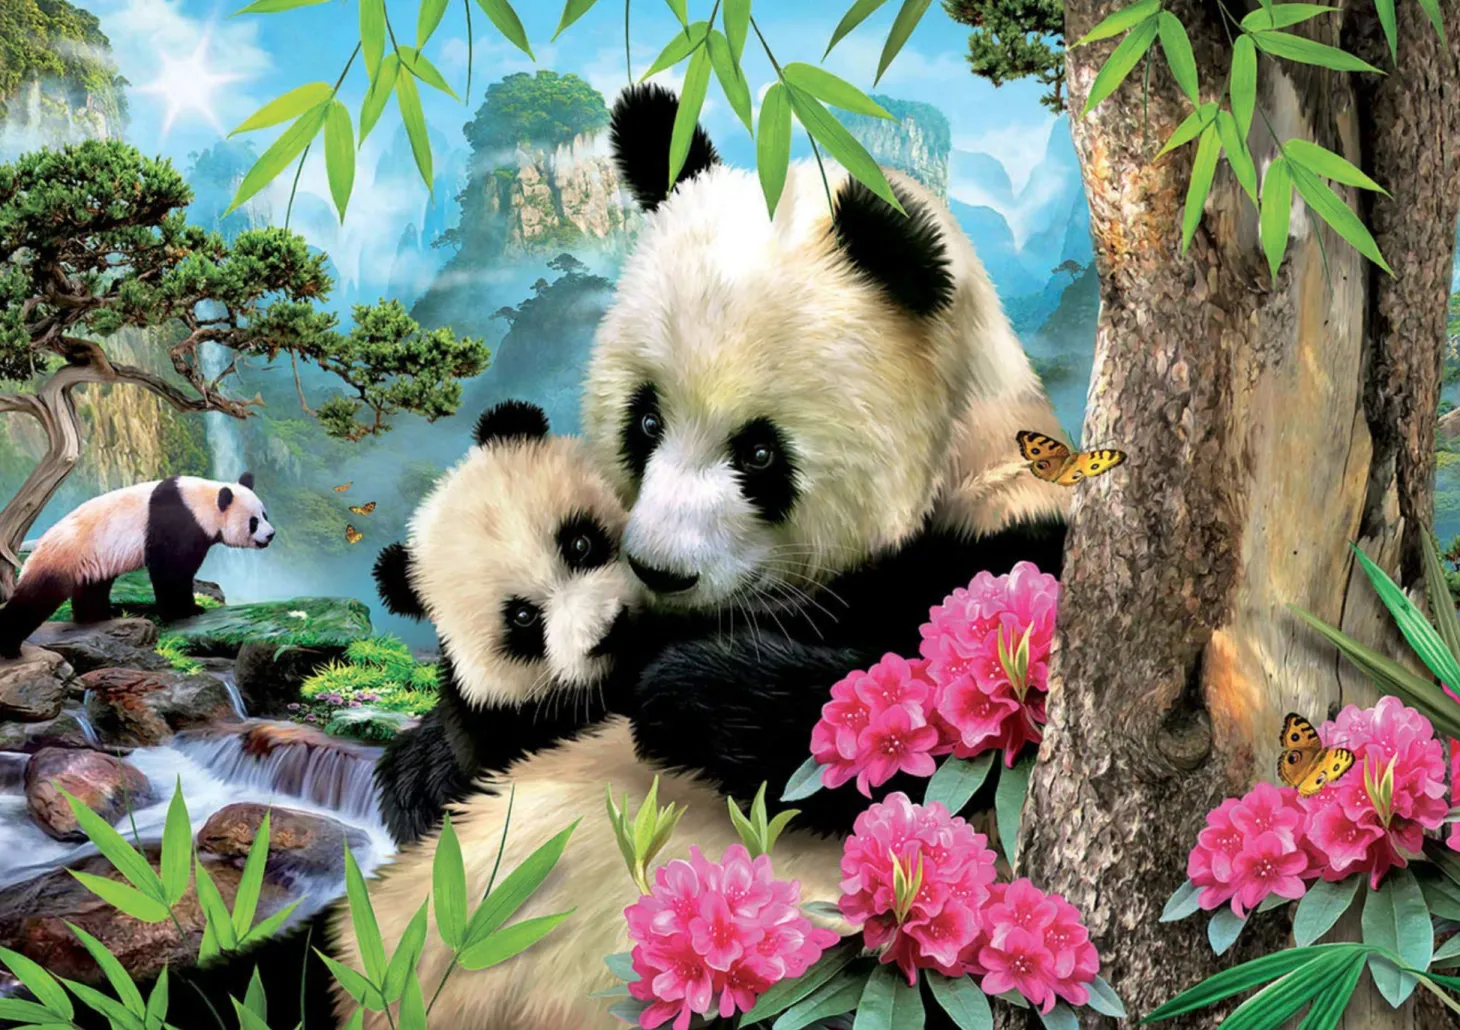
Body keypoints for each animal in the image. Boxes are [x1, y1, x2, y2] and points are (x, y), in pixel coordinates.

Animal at [0, 474, 274, 659]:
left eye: (265, 514)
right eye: (253, 522)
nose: (270, 535)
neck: (202, 501)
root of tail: (37, 546)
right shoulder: (176, 522)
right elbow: (171, 571)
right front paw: (188, 611)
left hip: (92, 560)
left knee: (93, 589)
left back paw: (99, 616)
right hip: (64, 556)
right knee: (35, 599)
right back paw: (10, 647)